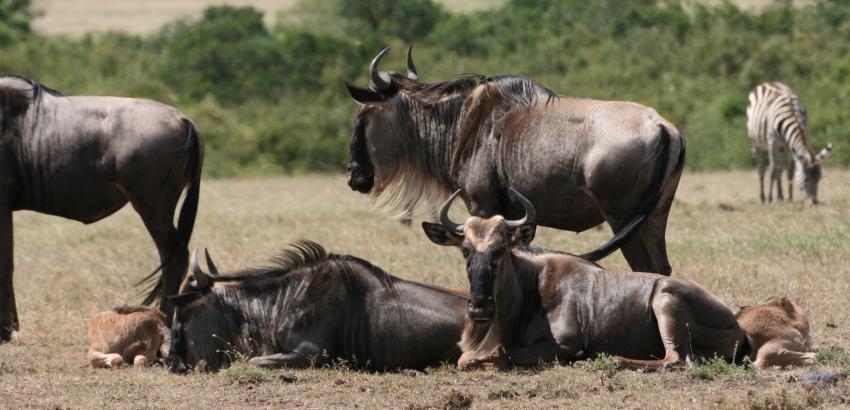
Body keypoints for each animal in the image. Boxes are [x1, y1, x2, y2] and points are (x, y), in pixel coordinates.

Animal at [420, 189, 744, 372]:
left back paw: (617, 360)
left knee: (675, 359)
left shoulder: (564, 345)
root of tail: (738, 327)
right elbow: (465, 359)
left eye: (500, 249)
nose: (479, 308)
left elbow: (500, 357)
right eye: (465, 250)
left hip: (664, 300)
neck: (529, 289)